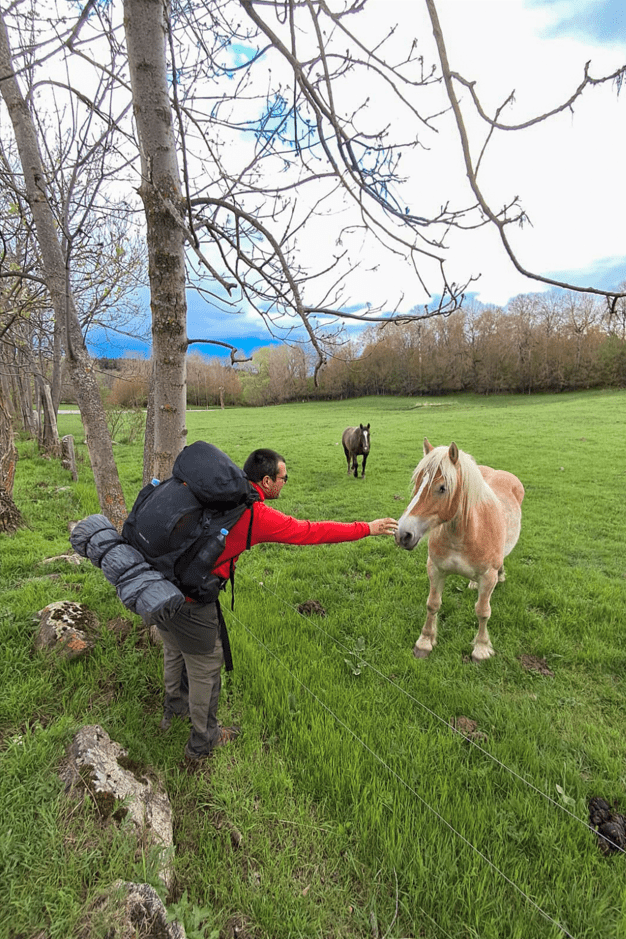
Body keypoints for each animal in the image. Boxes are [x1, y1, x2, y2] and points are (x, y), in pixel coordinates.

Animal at [394, 438, 520, 660]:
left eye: (442, 488)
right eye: (417, 482)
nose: (403, 534)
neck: (465, 536)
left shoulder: (488, 577)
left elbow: (483, 611)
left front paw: (481, 648)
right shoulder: (435, 569)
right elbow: (433, 604)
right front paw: (424, 642)